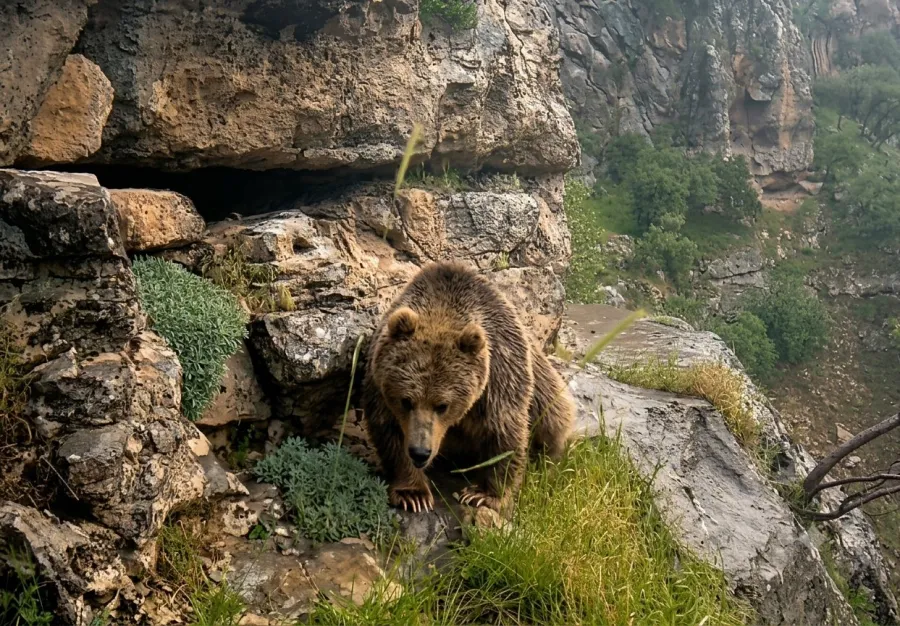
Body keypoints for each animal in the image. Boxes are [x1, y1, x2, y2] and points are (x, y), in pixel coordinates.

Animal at [362, 261, 575, 514]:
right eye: (406, 401)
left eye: (442, 405)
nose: (420, 452)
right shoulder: (379, 382)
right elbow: (389, 431)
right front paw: (413, 494)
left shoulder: (499, 374)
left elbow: (505, 430)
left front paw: (483, 494)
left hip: (544, 384)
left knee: (553, 417)